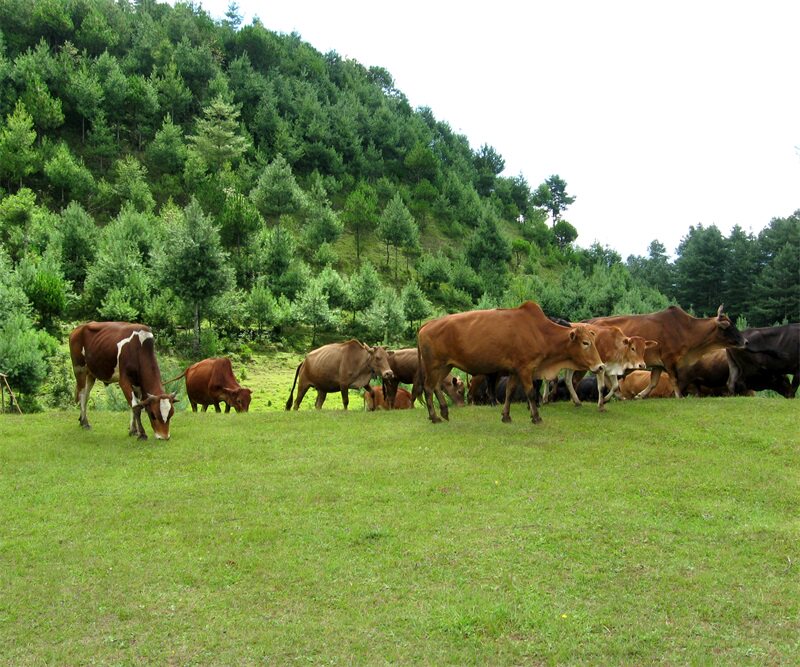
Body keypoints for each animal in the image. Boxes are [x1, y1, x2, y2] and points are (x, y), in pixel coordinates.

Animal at [417, 301, 604, 424]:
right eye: (585, 343)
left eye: (594, 342)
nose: (601, 366)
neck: (539, 332)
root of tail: (427, 324)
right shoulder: (525, 369)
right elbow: (530, 392)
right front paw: (536, 417)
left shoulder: (515, 370)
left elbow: (510, 392)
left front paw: (506, 416)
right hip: (433, 365)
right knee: (428, 387)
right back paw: (434, 417)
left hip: (444, 366)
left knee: (436, 386)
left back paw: (444, 411)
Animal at [587, 305, 747, 398]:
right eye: (729, 326)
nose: (745, 341)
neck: (687, 329)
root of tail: (590, 321)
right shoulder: (669, 360)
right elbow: (675, 380)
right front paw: (679, 396)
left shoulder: (658, 364)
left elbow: (653, 382)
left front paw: (640, 395)